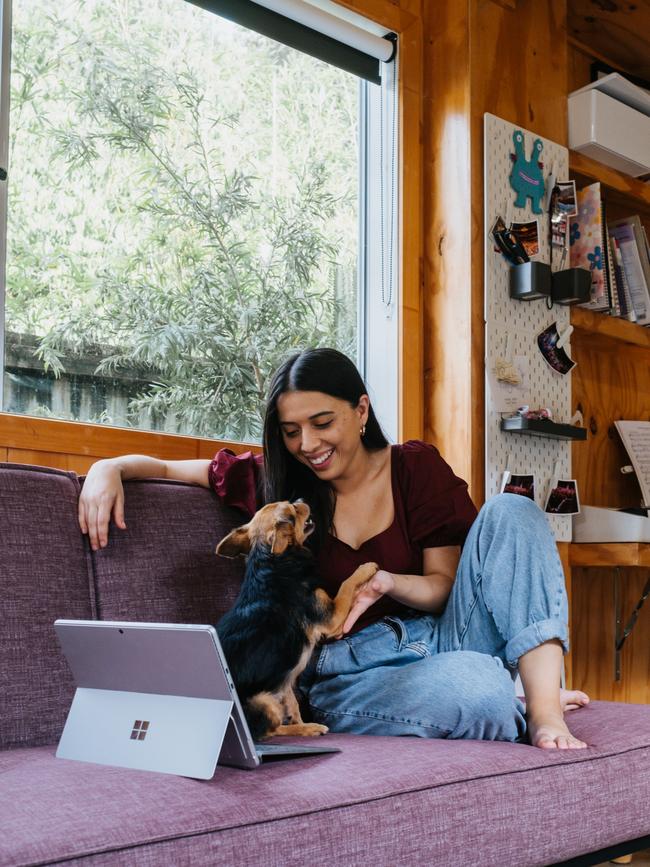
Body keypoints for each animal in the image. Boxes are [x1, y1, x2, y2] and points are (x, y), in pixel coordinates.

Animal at [214, 502, 374, 740]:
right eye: (293, 511)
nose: (300, 500)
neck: (271, 561)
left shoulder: (285, 676)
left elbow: (294, 705)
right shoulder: (331, 616)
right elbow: (347, 584)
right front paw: (366, 568)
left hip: (279, 681)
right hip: (264, 700)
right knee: (270, 731)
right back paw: (309, 728)